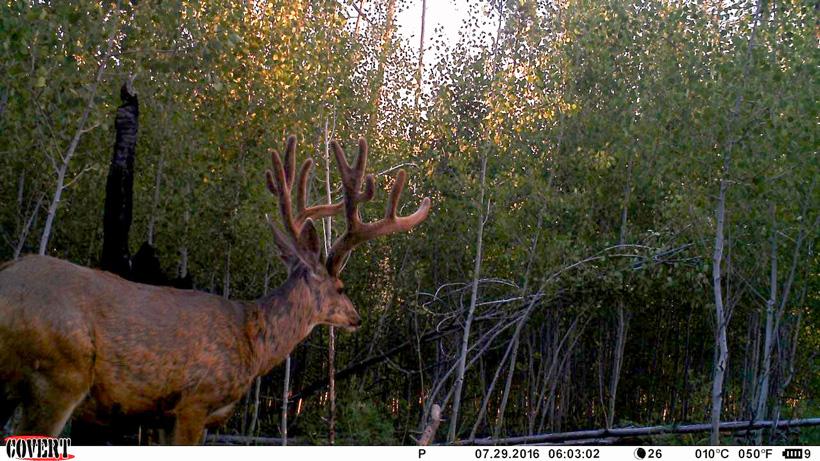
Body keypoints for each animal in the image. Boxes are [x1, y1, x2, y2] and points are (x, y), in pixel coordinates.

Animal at [0, 135, 430, 445]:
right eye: (340, 286)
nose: (356, 317)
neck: (252, 341)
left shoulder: (159, 416)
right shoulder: (194, 401)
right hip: (58, 373)